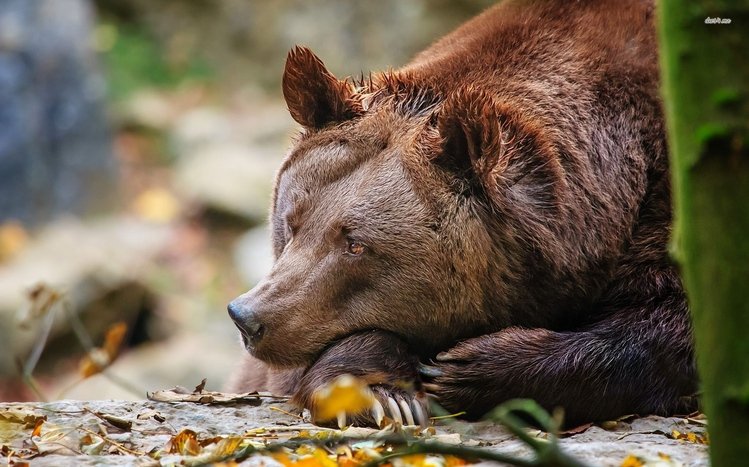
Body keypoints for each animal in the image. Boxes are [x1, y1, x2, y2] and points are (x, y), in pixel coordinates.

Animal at [227, 0, 699, 428]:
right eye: (291, 222)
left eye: (356, 244)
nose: (249, 318)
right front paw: (382, 393)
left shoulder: (667, 203)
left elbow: (669, 328)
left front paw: (467, 367)